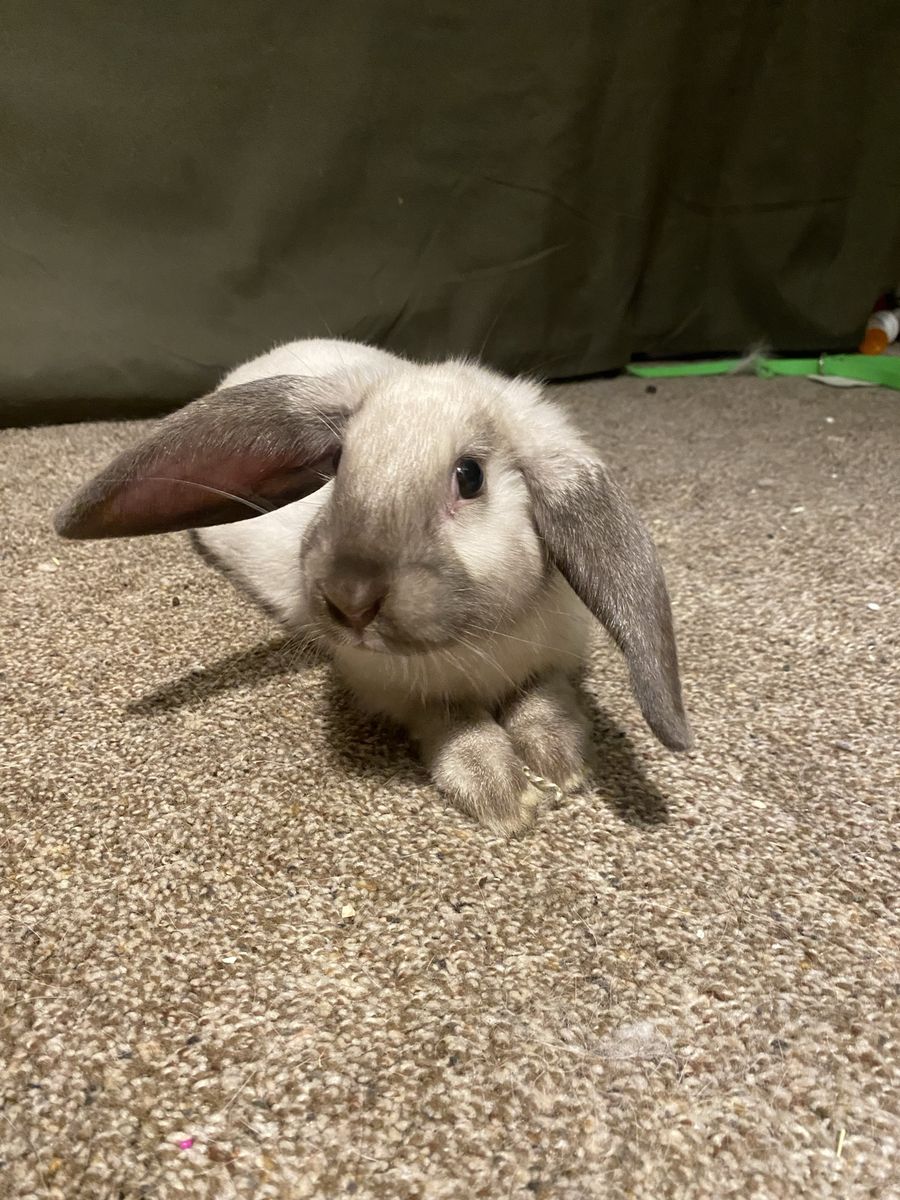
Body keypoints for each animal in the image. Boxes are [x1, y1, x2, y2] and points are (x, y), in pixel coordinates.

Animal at [55, 337, 692, 835]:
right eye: (338, 467)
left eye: (470, 477)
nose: (350, 601)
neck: (481, 639)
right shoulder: (399, 692)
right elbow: (458, 725)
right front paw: (506, 796)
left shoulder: (558, 656)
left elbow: (542, 701)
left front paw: (564, 768)